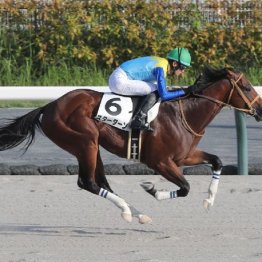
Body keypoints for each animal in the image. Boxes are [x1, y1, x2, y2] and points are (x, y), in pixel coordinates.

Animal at [0, 66, 262, 223]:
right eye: (247, 87)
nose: (260, 109)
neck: (185, 113)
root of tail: (49, 106)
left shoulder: (184, 156)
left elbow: (216, 161)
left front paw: (209, 201)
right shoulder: (160, 162)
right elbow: (185, 187)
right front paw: (152, 189)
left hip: (91, 146)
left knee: (101, 182)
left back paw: (136, 213)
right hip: (85, 142)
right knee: (87, 182)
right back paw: (129, 212)